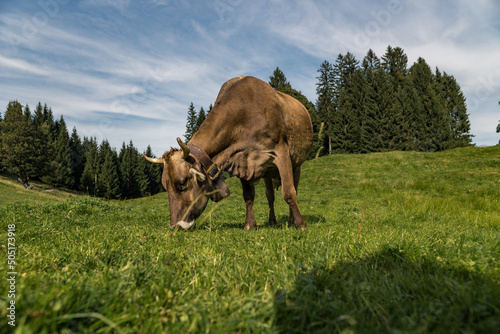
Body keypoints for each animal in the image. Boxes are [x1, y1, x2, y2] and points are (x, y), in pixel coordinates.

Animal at [144, 75, 312, 230]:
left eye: (182, 183)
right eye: (165, 186)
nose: (175, 226)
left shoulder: (281, 151)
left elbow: (289, 192)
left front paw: (300, 224)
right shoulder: (242, 160)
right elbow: (248, 196)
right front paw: (249, 224)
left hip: (296, 164)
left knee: (294, 188)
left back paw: (291, 220)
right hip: (268, 172)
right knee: (270, 195)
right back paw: (272, 222)